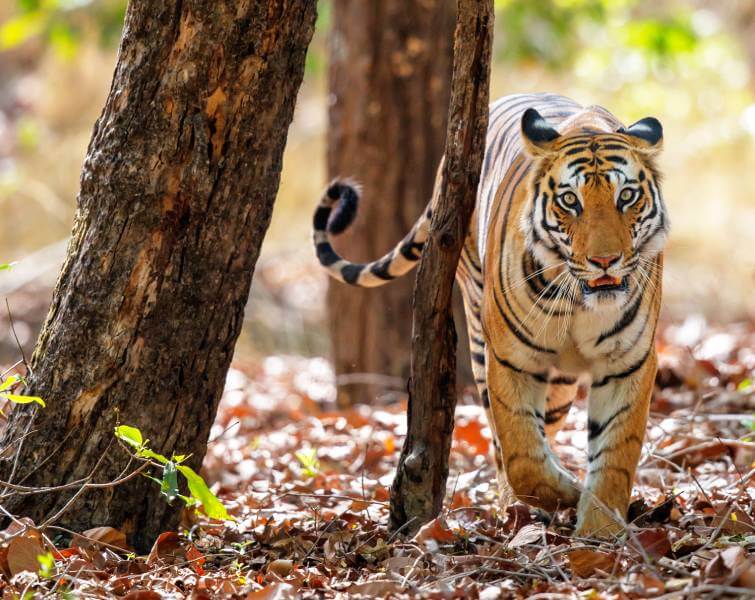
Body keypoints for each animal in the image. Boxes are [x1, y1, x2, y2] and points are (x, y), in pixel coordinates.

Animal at [314, 94, 668, 540]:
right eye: (571, 201)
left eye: (627, 196)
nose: (605, 260)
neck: (581, 304)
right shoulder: (511, 359)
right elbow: (521, 454)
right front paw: (565, 495)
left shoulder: (628, 363)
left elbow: (616, 453)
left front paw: (599, 531)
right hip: (480, 338)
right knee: (504, 444)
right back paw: (517, 507)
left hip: (560, 385)